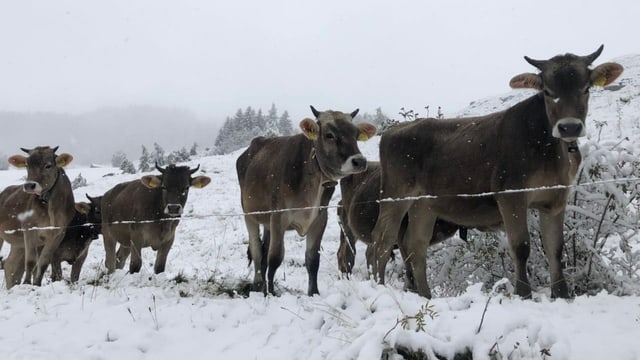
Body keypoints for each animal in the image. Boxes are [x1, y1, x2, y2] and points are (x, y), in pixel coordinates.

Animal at [0, 145, 75, 288]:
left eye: (48, 165)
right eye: (27, 165)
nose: (29, 185)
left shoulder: (58, 233)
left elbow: (44, 262)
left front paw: (36, 284)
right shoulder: (29, 228)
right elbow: (31, 261)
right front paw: (27, 283)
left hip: (18, 242)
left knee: (11, 265)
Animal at [238, 105, 378, 296]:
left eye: (356, 134)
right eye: (329, 135)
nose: (359, 161)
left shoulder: (319, 218)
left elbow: (312, 259)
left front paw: (314, 292)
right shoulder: (279, 217)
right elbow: (275, 257)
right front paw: (271, 293)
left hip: (267, 221)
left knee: (264, 249)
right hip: (249, 214)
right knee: (257, 251)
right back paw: (259, 285)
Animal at [372, 45, 624, 298]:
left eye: (586, 88)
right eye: (547, 91)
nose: (569, 127)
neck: (551, 152)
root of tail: (392, 131)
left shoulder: (556, 198)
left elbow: (555, 248)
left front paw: (561, 295)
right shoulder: (510, 194)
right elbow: (521, 246)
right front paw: (523, 294)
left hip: (424, 204)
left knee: (416, 245)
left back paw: (425, 295)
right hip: (396, 196)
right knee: (381, 243)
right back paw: (379, 287)